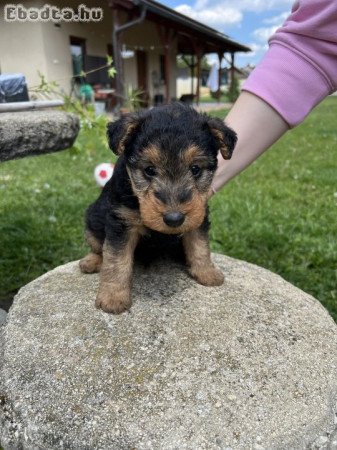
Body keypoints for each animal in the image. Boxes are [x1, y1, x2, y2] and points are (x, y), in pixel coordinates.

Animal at [79, 103, 236, 312]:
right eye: (149, 170)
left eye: (195, 169)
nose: (174, 219)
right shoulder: (121, 221)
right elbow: (116, 260)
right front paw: (113, 297)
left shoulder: (198, 215)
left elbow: (200, 245)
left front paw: (207, 272)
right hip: (92, 220)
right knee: (98, 248)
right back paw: (91, 262)